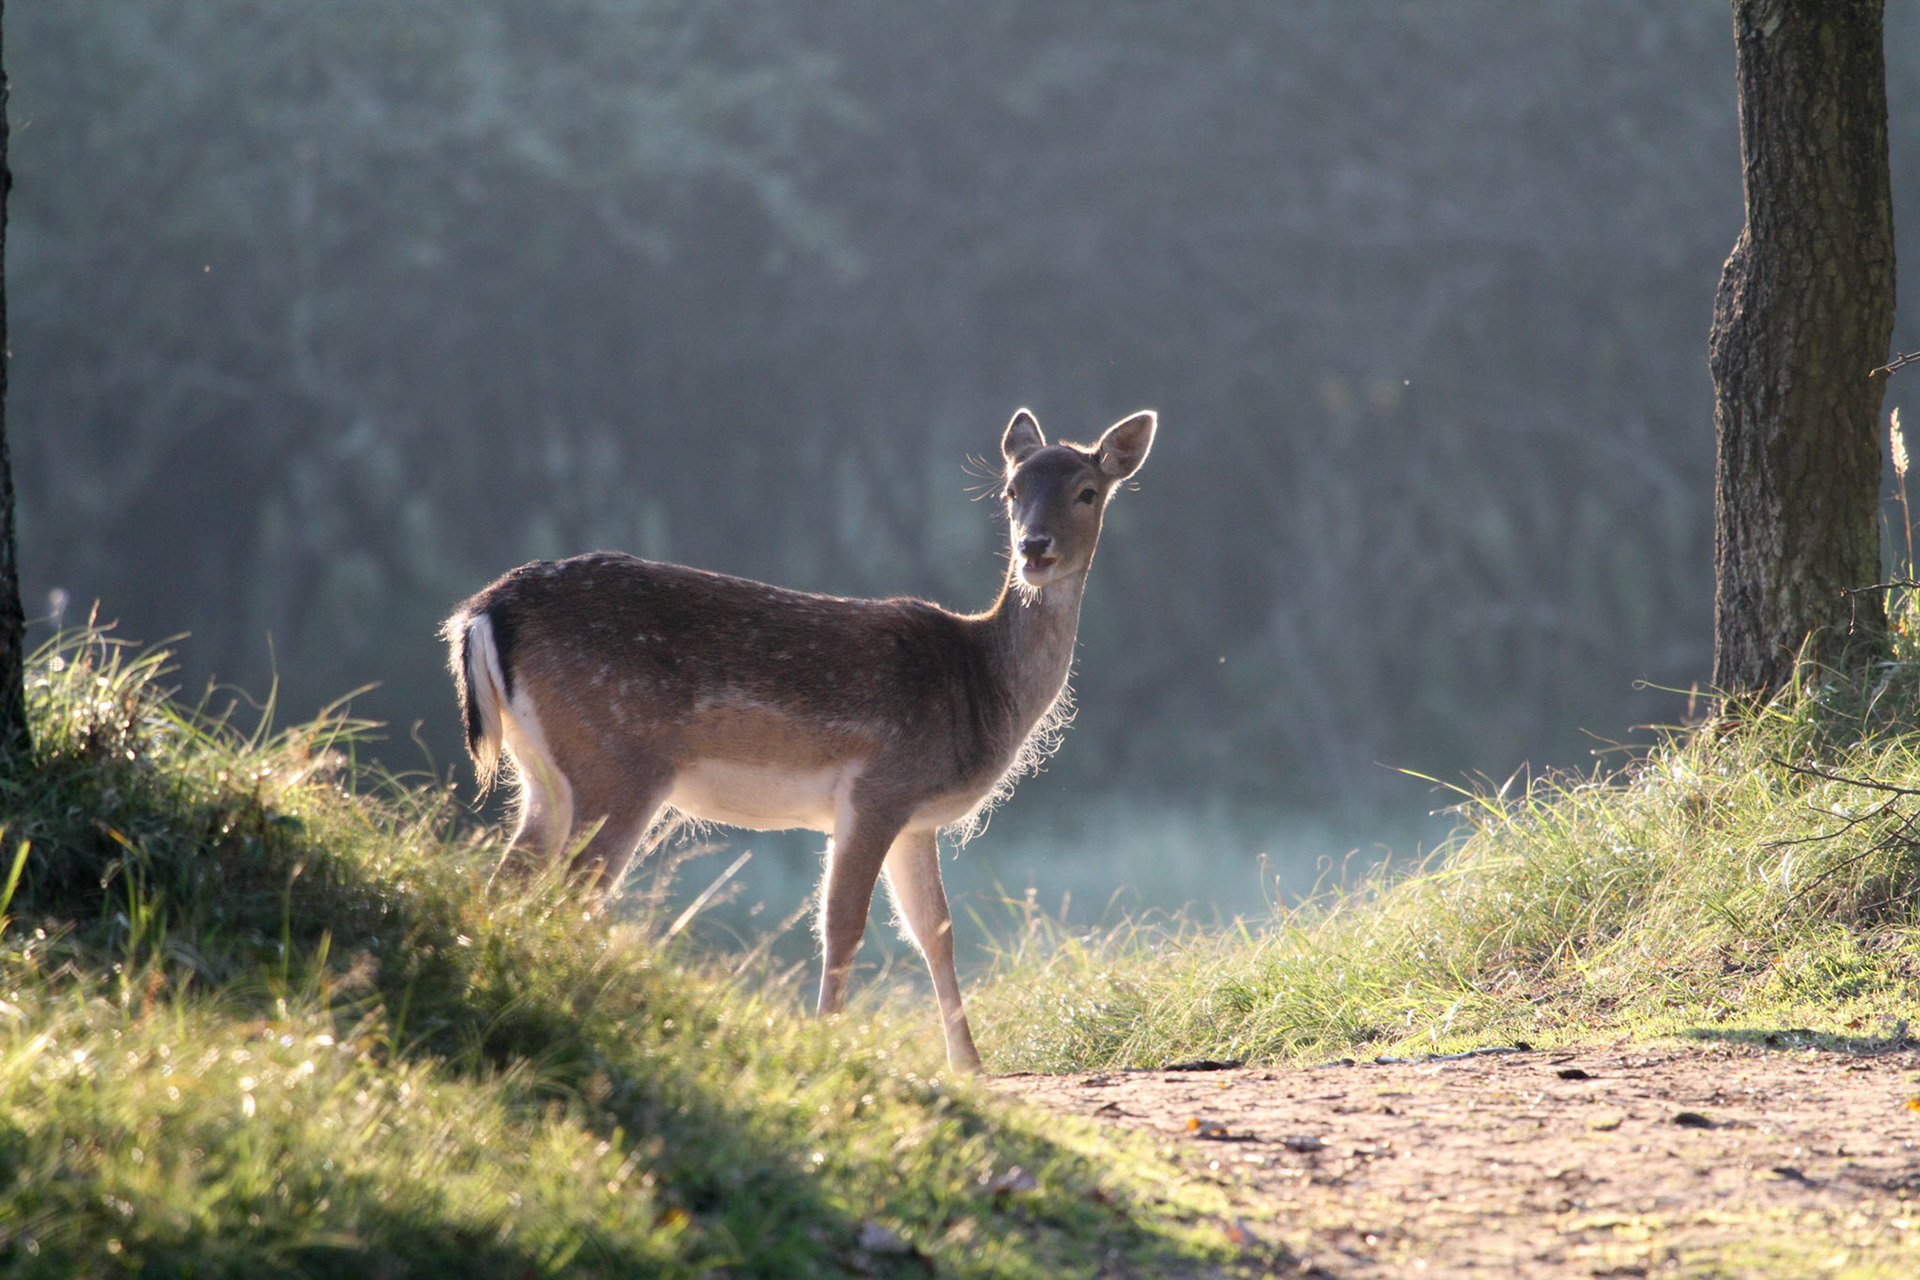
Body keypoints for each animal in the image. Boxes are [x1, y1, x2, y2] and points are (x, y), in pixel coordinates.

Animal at [442, 408, 1155, 1073]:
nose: (1034, 549)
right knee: (570, 893)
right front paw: (829, 1046)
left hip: (543, 776)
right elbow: (842, 925)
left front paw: (970, 1069)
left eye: (1087, 491)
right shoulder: (878, 789)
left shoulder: (917, 819)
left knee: (508, 883)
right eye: (1011, 489)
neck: (982, 686)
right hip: (617, 765)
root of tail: (483, 611)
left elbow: (935, 930)